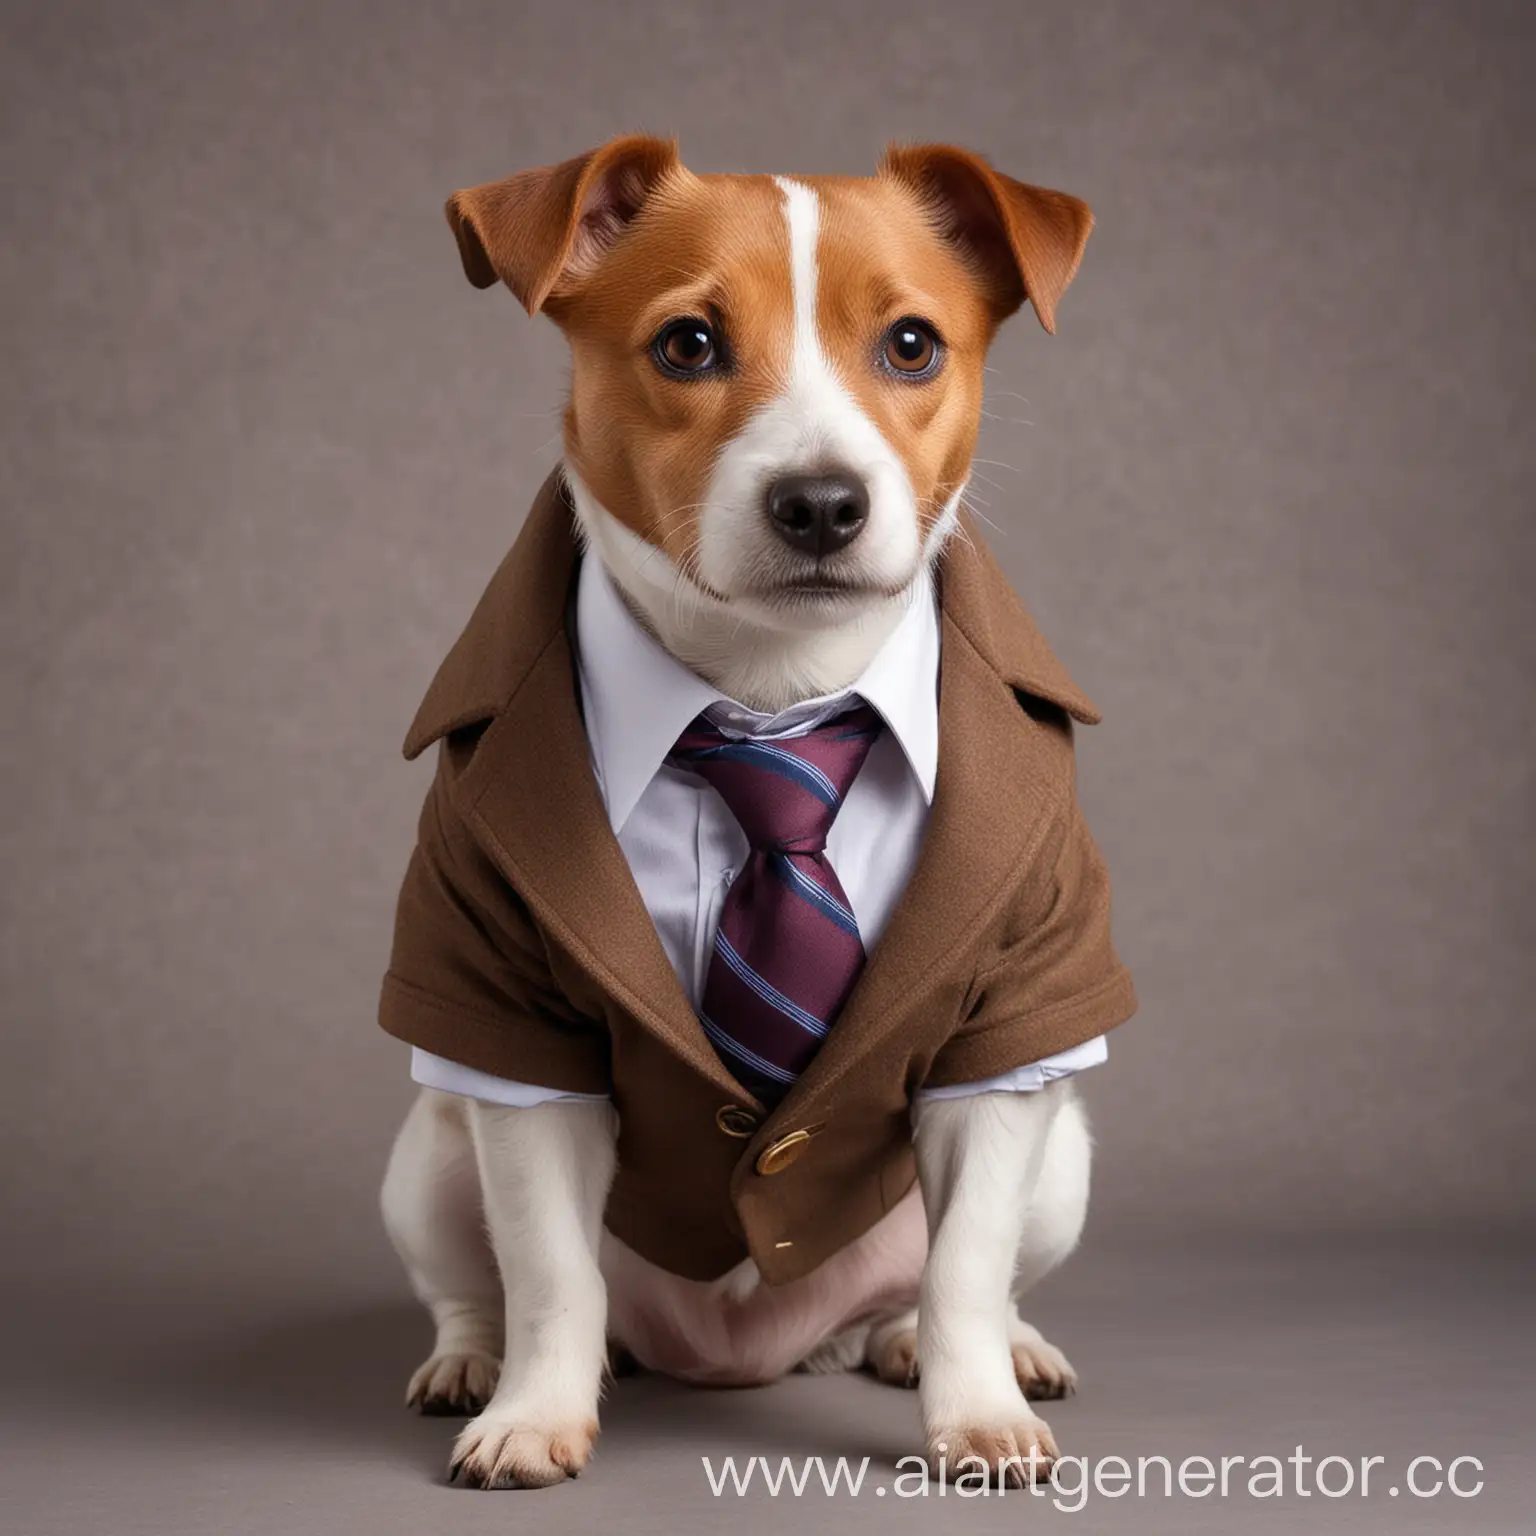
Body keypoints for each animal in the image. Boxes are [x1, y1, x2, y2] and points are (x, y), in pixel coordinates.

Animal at [377, 135, 1136, 1486]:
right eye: (687, 345)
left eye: (911, 345)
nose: (823, 501)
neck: (774, 695)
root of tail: (750, 1355)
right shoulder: (512, 1034)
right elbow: (550, 1271)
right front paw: (533, 1413)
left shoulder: (1010, 1031)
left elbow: (964, 1265)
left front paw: (976, 1409)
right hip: (427, 1156)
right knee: (478, 1279)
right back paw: (472, 1359)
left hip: (1066, 1163)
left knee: (954, 1278)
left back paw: (956, 1343)